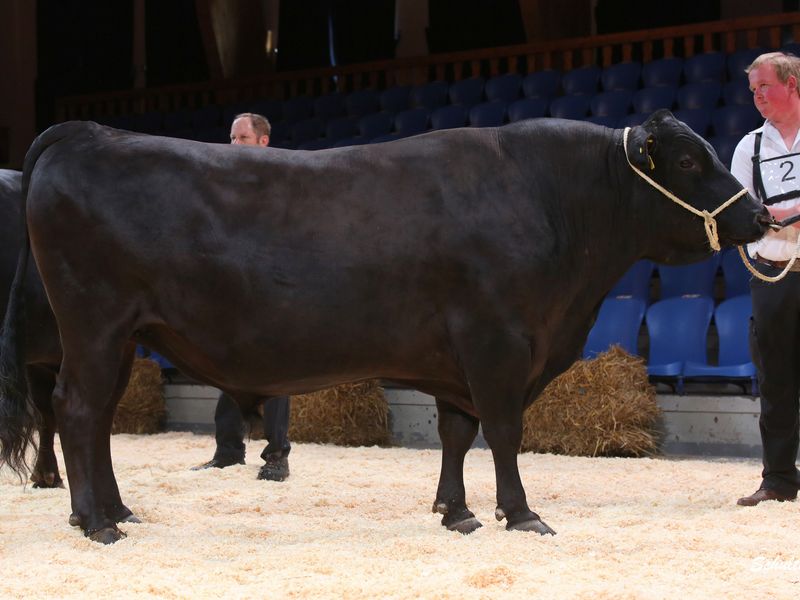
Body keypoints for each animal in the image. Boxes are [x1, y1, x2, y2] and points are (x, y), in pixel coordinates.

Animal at [0, 110, 772, 544]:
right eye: (687, 159)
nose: (762, 215)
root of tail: (89, 134)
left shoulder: (459, 357)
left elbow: (457, 432)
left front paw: (456, 512)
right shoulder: (497, 341)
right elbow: (503, 431)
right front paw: (522, 514)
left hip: (120, 335)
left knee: (97, 418)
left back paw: (113, 511)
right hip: (95, 325)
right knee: (78, 410)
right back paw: (98, 522)